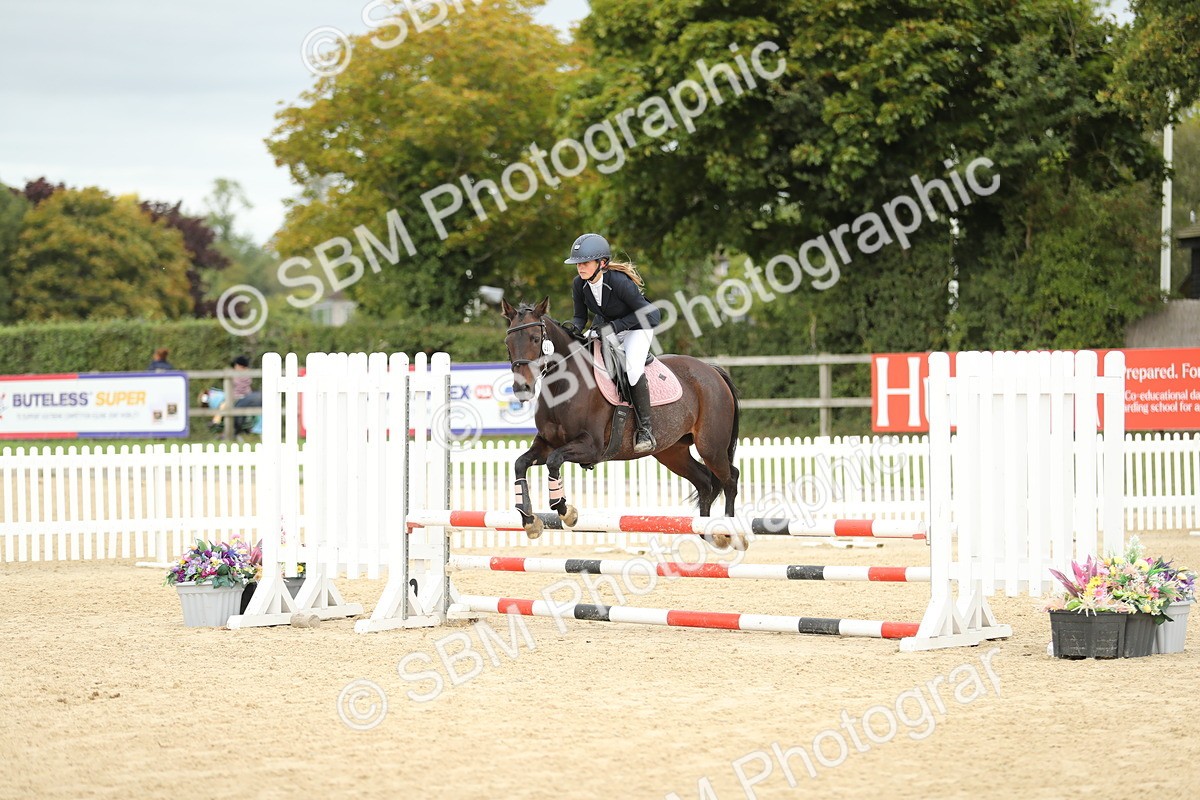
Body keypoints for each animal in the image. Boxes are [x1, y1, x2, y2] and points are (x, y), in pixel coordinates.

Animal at [501, 298, 742, 547]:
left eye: (535, 339)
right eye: (508, 342)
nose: (521, 388)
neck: (562, 386)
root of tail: (712, 371)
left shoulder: (591, 447)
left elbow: (554, 461)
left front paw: (566, 512)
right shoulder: (546, 443)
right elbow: (520, 463)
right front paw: (529, 520)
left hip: (711, 447)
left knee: (730, 479)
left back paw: (728, 531)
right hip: (672, 453)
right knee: (704, 481)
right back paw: (707, 532)